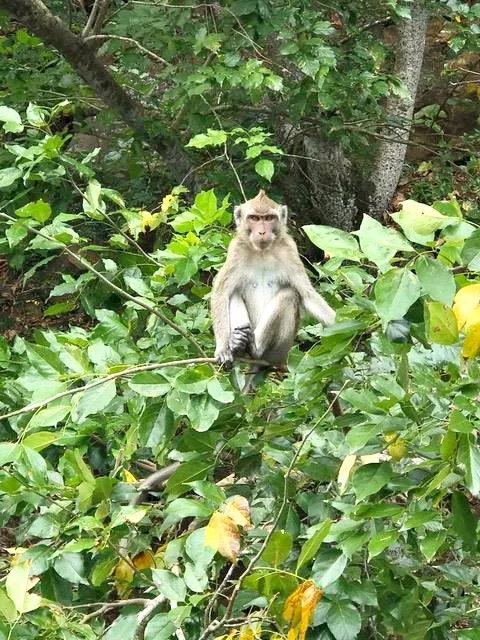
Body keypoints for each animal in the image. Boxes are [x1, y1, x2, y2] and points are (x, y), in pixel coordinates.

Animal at [212, 190, 336, 370]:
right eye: (254, 218)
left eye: (269, 218)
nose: (262, 232)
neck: (262, 252)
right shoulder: (236, 251)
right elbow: (221, 292)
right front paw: (222, 348)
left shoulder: (290, 250)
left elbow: (307, 295)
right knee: (233, 293)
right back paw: (238, 345)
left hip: (282, 349)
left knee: (289, 295)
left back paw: (256, 349)